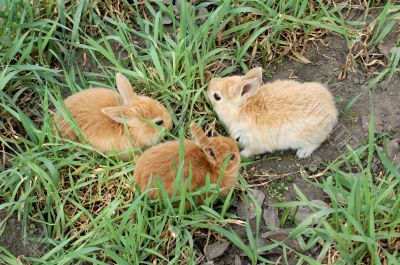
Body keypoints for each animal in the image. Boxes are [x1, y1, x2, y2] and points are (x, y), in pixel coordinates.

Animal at [208, 67, 340, 158]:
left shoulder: (253, 142)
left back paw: (302, 153)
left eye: (217, 97)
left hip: (309, 136)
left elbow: (250, 150)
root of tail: (332, 111)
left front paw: (242, 155)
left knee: (316, 142)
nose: (209, 85)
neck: (241, 108)